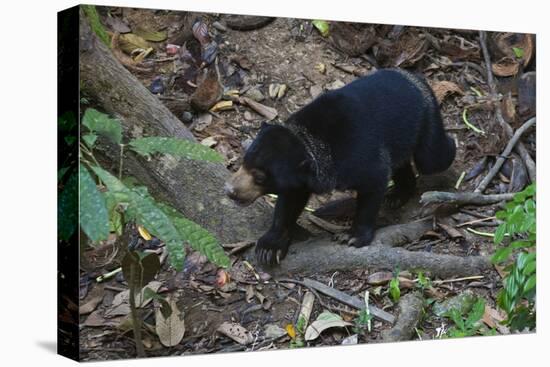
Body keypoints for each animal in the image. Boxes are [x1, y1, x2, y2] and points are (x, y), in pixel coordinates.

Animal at [224, 68, 458, 264]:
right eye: (244, 162)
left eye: (260, 177)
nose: (230, 191)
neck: (310, 144)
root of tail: (415, 77)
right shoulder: (300, 179)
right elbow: (289, 203)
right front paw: (269, 248)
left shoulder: (360, 157)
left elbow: (374, 182)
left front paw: (352, 237)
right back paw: (397, 195)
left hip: (426, 118)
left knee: (433, 157)